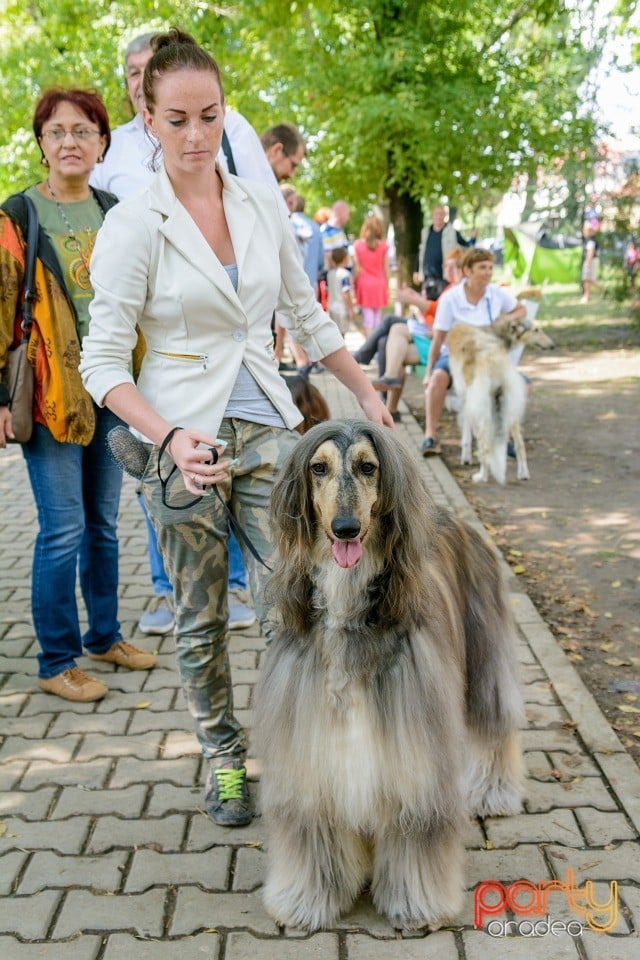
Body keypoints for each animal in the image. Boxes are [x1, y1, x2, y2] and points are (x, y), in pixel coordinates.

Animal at [252, 418, 524, 928]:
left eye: (368, 466)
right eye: (318, 468)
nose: (346, 528)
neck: (349, 607)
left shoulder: (413, 745)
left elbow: (416, 824)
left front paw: (416, 902)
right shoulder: (311, 749)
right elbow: (315, 826)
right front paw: (309, 900)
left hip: (483, 653)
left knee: (493, 724)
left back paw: (493, 791)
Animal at [448, 316, 552, 484]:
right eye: (536, 329)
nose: (552, 345)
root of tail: (494, 362)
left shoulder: (466, 400)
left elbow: (466, 435)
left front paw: (466, 458)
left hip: (481, 413)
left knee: (485, 447)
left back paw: (481, 476)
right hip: (510, 409)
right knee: (520, 445)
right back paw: (523, 473)